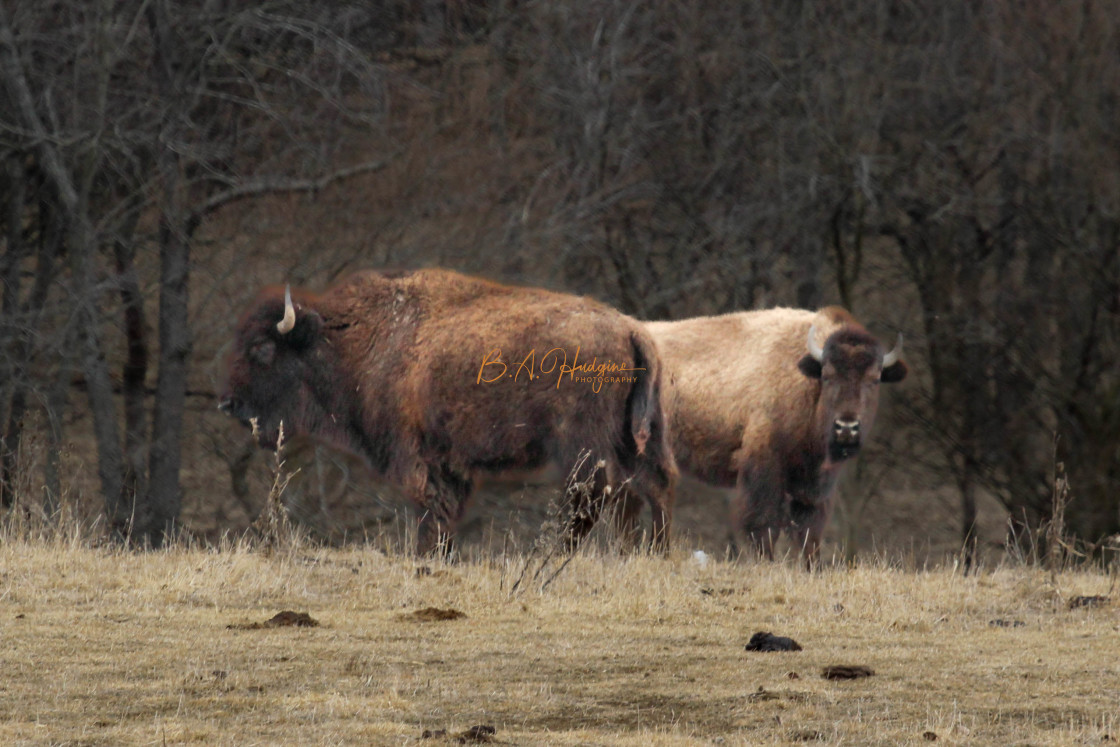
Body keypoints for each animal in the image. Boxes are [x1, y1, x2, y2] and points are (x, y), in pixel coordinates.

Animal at [217, 268, 672, 555]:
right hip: (636, 439)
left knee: (593, 497)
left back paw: (553, 552)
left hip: (583, 447)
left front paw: (428, 555)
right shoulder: (451, 464)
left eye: (261, 349)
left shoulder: (420, 458)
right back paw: (651, 552)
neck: (360, 341)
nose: (228, 403)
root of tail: (631, 329)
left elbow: (430, 510)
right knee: (651, 489)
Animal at [645, 306, 904, 564]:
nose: (847, 427)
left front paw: (812, 566)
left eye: (874, 379)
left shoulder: (814, 483)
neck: (806, 382)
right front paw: (766, 562)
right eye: (828, 376)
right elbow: (765, 522)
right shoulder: (764, 467)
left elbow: (808, 529)